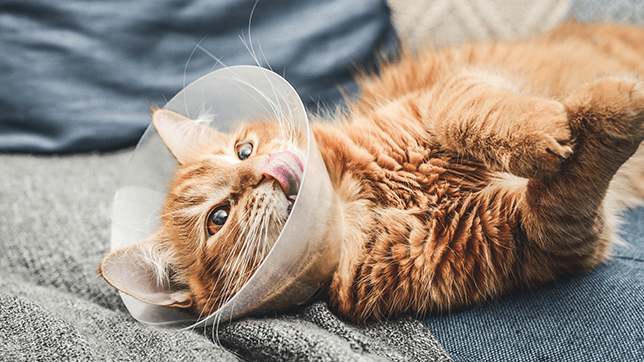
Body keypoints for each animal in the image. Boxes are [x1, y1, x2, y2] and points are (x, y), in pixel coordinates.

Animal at [98, 21, 644, 324]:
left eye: (243, 149)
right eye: (218, 218)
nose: (263, 170)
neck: (366, 198)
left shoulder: (442, 95)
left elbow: (475, 111)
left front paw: (551, 124)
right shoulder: (545, 235)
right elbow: (571, 178)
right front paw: (612, 107)